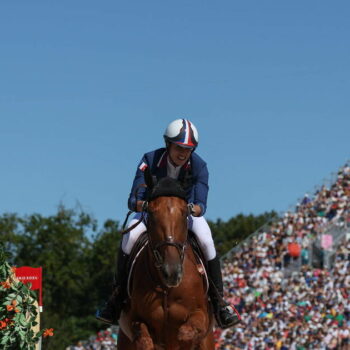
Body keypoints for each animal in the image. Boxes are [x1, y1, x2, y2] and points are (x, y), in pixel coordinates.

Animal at [117, 176, 215, 350]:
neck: (166, 289)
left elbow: (185, 333)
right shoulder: (131, 320)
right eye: (151, 213)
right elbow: (145, 340)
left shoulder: (201, 315)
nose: (172, 272)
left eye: (185, 214)